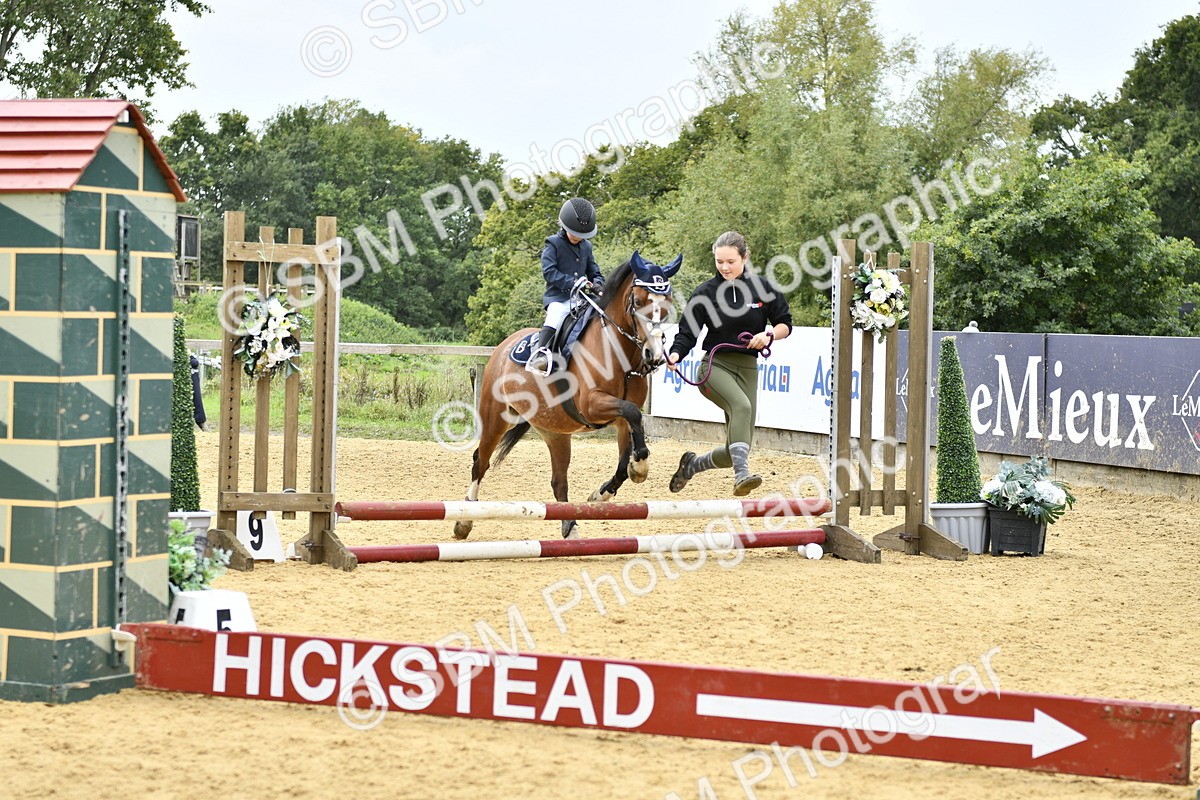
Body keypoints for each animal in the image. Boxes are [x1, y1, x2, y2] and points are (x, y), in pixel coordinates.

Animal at [455, 252, 682, 540]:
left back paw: (570, 528)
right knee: (480, 462)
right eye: (639, 301)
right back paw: (464, 521)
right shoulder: (592, 405)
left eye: (668, 303)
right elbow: (633, 415)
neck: (619, 354)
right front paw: (639, 467)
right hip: (496, 417)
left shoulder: (620, 420)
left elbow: (624, 458)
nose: (655, 355)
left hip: (555, 432)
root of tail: (504, 346)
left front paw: (603, 492)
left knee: (558, 481)